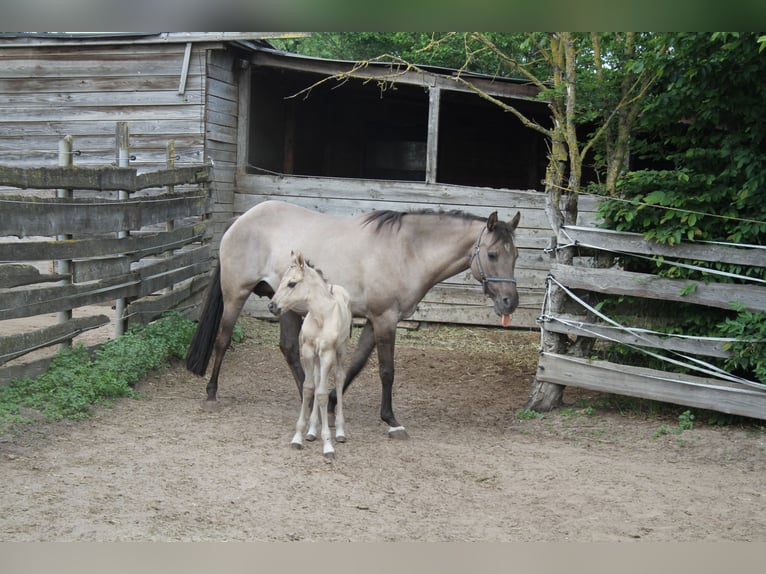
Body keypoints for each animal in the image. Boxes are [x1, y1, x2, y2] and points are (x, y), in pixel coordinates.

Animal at [186, 200, 520, 438]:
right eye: (492, 255)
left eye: (515, 256)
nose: (510, 302)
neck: (407, 251)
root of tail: (241, 219)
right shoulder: (385, 319)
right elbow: (387, 370)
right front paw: (391, 419)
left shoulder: (376, 320)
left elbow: (356, 365)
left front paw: (333, 403)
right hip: (236, 295)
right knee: (223, 339)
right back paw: (212, 392)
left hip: (287, 308)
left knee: (289, 349)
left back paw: (306, 396)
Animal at [270, 252, 354, 460]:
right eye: (281, 281)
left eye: (292, 283)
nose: (272, 306)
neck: (321, 316)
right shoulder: (308, 352)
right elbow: (309, 388)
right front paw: (299, 436)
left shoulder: (327, 354)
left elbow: (323, 394)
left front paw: (328, 445)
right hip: (315, 359)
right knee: (316, 381)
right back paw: (312, 431)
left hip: (340, 351)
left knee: (339, 379)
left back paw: (340, 431)